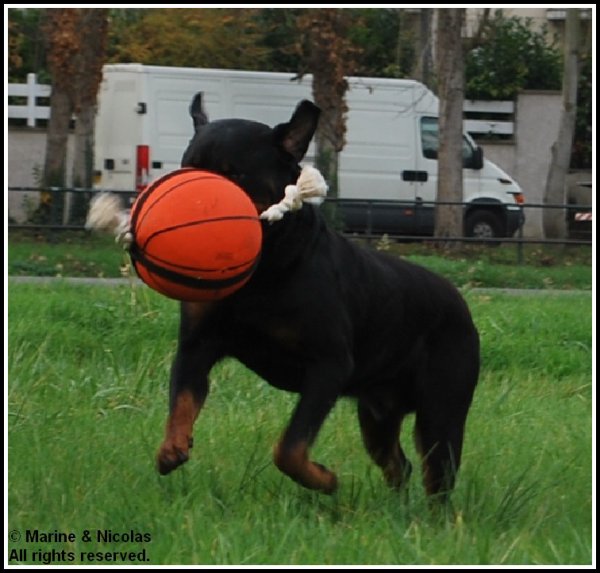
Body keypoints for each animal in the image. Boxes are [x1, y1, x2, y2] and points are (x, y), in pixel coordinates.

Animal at [154, 96, 478, 498]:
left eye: (235, 175)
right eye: (187, 167)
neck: (265, 268)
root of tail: (460, 301)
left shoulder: (329, 365)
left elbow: (290, 448)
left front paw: (324, 479)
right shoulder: (196, 348)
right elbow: (181, 402)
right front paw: (172, 447)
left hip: (441, 410)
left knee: (438, 477)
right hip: (378, 412)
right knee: (398, 464)